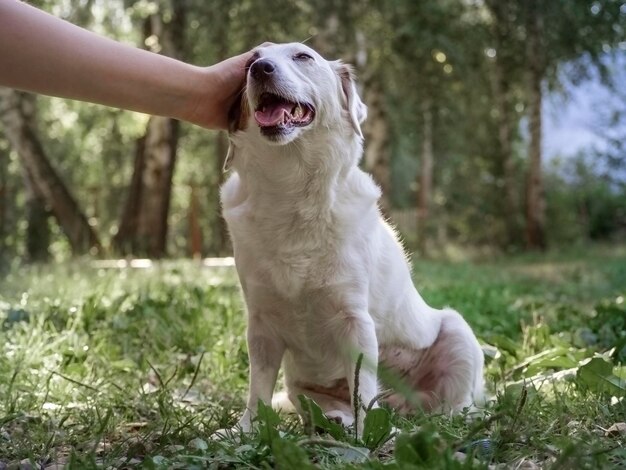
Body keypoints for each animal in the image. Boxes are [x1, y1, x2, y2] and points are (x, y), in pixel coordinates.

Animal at [219, 44, 482, 434]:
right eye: (252, 60)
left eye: (303, 56)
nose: (260, 68)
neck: (289, 192)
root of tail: (400, 403)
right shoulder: (262, 324)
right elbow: (258, 390)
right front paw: (245, 431)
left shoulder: (354, 322)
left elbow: (362, 388)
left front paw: (366, 435)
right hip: (302, 387)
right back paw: (335, 417)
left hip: (457, 332)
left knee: (450, 407)